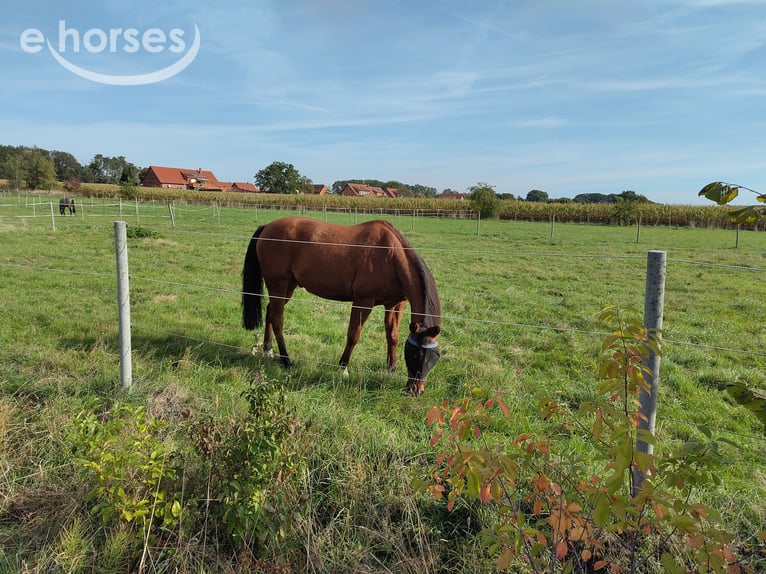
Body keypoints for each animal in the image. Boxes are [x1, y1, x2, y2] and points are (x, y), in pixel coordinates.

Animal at [241, 216, 442, 395]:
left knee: (270, 311)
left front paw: (391, 368)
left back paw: (268, 349)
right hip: (278, 284)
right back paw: (286, 360)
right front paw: (343, 367)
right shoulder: (363, 301)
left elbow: (392, 336)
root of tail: (267, 227)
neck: (390, 255)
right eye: (416, 355)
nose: (416, 390)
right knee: (277, 319)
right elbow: (353, 335)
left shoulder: (395, 304)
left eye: (435, 357)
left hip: (288, 286)